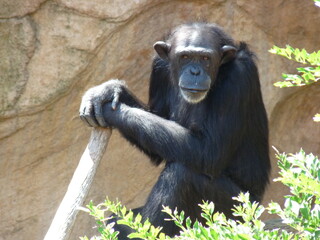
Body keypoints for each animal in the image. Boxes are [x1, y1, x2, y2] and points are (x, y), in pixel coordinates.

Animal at [79, 22, 270, 238]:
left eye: (205, 58)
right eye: (185, 57)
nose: (195, 72)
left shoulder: (238, 78)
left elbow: (209, 151)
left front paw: (110, 109)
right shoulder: (159, 69)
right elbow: (156, 126)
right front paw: (110, 90)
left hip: (237, 212)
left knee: (181, 175)